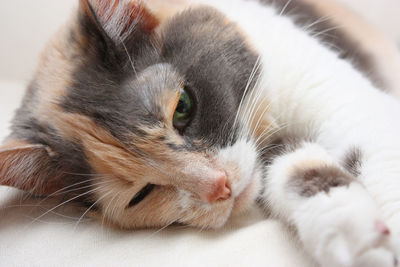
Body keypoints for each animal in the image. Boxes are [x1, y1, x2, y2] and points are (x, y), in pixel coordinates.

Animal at [0, 0, 400, 266]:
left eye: (183, 107)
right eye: (141, 194)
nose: (219, 186)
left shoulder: (336, 94)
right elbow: (299, 170)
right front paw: (356, 237)